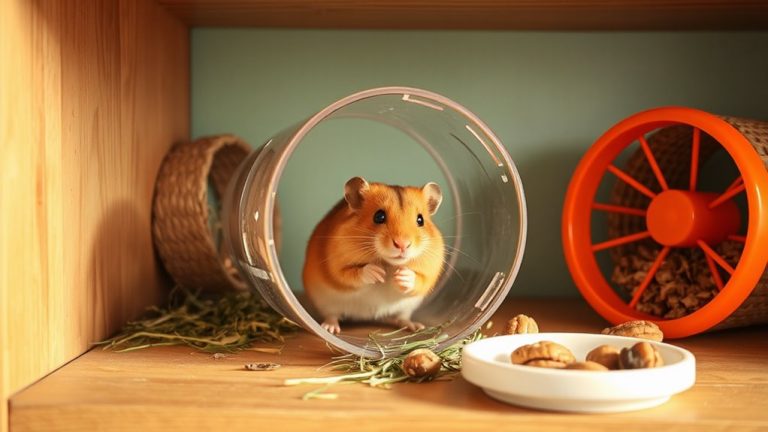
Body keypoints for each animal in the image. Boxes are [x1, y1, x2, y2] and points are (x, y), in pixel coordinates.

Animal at [303, 176, 445, 334]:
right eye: (379, 216)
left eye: (420, 220)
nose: (402, 244)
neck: (388, 263)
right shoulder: (337, 268)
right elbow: (351, 274)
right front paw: (377, 273)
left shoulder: (429, 272)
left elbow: (419, 280)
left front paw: (401, 275)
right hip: (327, 303)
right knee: (331, 315)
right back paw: (330, 329)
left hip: (406, 308)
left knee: (401, 318)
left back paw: (415, 326)